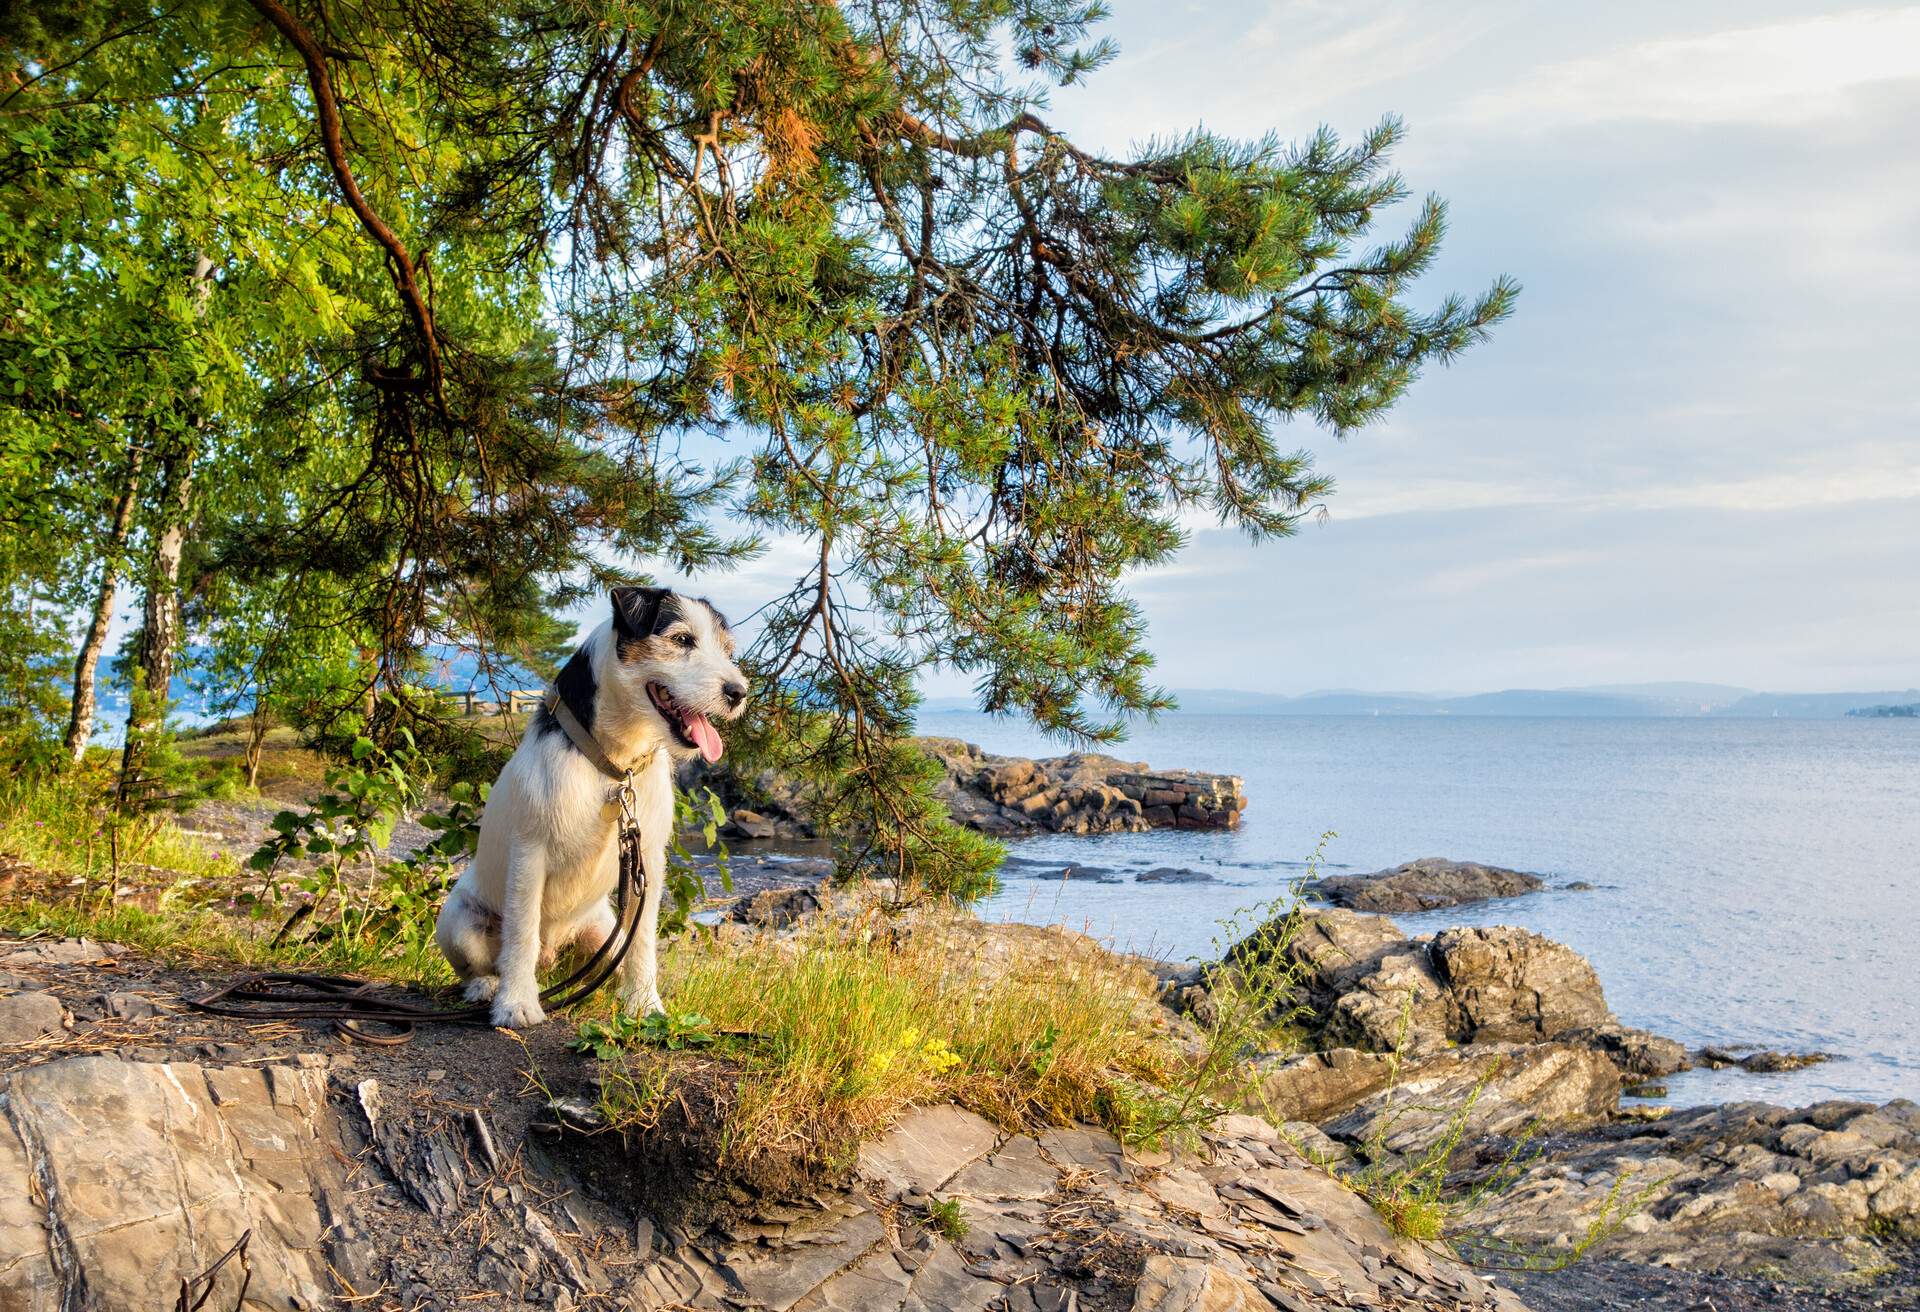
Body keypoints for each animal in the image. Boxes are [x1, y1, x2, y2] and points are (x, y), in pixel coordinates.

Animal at [437, 583, 748, 1029]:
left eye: (727, 649)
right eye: (682, 639)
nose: (738, 693)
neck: (614, 763)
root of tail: (553, 953)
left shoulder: (647, 860)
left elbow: (642, 941)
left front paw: (644, 1004)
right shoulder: (530, 853)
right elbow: (521, 932)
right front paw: (516, 1004)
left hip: (603, 933)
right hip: (459, 923)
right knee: (483, 963)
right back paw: (487, 987)